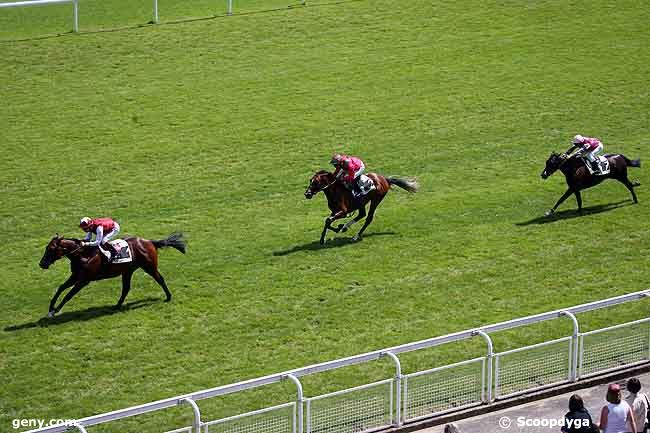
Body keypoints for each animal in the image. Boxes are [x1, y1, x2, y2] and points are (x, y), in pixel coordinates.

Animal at [39, 233, 185, 318]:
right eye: (46, 248)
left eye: (51, 249)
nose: (42, 264)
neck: (83, 254)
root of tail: (149, 242)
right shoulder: (75, 276)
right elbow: (60, 288)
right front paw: (51, 308)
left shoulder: (84, 280)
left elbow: (68, 295)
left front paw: (56, 310)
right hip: (127, 271)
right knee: (126, 288)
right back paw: (117, 306)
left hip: (149, 267)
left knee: (160, 279)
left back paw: (168, 296)